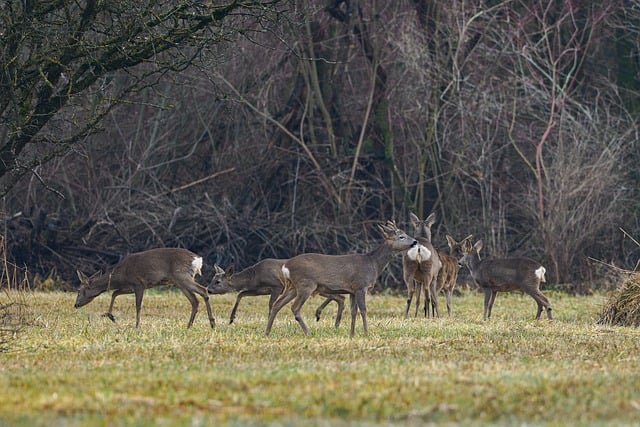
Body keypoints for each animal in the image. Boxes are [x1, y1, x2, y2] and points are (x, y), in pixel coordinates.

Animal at [74, 248, 215, 328]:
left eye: (79, 291)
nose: (76, 305)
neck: (120, 275)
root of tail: (198, 259)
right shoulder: (129, 286)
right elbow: (114, 293)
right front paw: (110, 315)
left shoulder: (139, 284)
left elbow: (138, 305)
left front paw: (137, 326)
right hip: (179, 281)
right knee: (194, 300)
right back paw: (189, 325)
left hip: (182, 276)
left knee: (203, 290)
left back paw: (212, 323)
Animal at [208, 259, 346, 327]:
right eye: (212, 279)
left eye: (218, 282)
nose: (208, 289)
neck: (255, 276)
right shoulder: (260, 290)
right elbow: (240, 294)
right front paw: (231, 319)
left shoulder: (277, 286)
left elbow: (271, 304)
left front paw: (269, 323)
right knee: (340, 297)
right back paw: (334, 322)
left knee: (338, 295)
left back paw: (322, 315)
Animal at [264, 220, 417, 337]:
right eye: (401, 236)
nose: (415, 241)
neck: (373, 263)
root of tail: (286, 265)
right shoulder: (361, 286)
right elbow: (363, 310)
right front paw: (366, 333)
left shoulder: (352, 290)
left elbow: (353, 312)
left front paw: (352, 334)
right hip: (306, 284)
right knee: (294, 307)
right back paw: (308, 332)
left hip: (292, 286)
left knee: (277, 305)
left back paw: (267, 332)